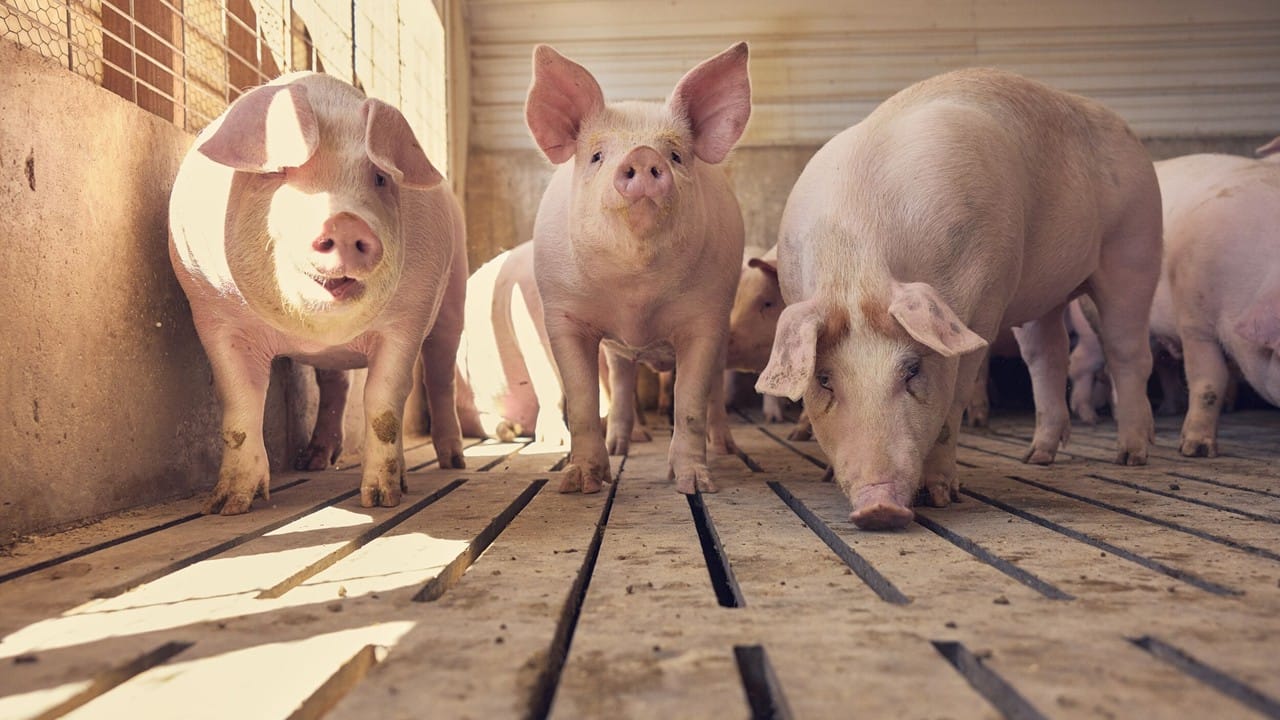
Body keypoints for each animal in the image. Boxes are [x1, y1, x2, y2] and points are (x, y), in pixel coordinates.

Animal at [169, 72, 467, 514]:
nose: (344, 221)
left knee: (439, 375)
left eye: (379, 177)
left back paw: (452, 463)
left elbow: (384, 403)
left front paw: (381, 500)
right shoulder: (212, 313)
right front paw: (225, 507)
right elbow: (240, 404)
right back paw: (312, 462)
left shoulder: (409, 317)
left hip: (452, 297)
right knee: (335, 386)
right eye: (279, 172)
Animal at [525, 43, 751, 494]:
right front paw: (579, 483)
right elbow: (582, 401)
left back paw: (726, 449)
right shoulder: (562, 313)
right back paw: (622, 446)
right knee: (621, 382)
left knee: (715, 393)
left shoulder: (708, 316)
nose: (642, 155)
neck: (637, 295)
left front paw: (695, 485)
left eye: (676, 155)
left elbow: (691, 403)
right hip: (616, 352)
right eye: (596, 155)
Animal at [757, 68, 1161, 529]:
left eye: (912, 369)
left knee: (1127, 351)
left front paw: (942, 496)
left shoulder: (984, 301)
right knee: (1048, 356)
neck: (855, 261)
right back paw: (1037, 457)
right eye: (824, 379)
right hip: (1046, 292)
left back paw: (1131, 456)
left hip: (1134, 247)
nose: (879, 507)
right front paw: (826, 474)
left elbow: (955, 402)